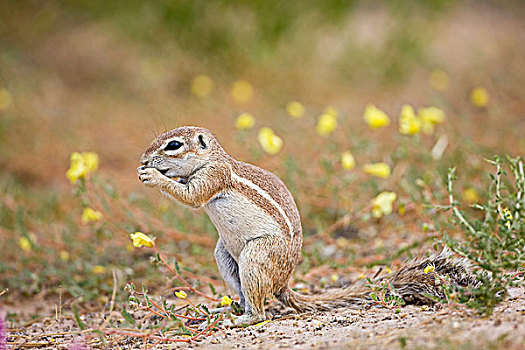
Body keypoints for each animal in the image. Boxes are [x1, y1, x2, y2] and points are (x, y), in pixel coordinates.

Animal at [137, 127, 476, 326]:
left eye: (174, 145)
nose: (143, 159)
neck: (210, 158)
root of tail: (283, 283)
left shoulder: (214, 175)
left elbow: (193, 197)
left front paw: (153, 177)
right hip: (225, 257)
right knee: (246, 294)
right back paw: (228, 309)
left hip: (256, 257)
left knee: (260, 309)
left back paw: (243, 319)